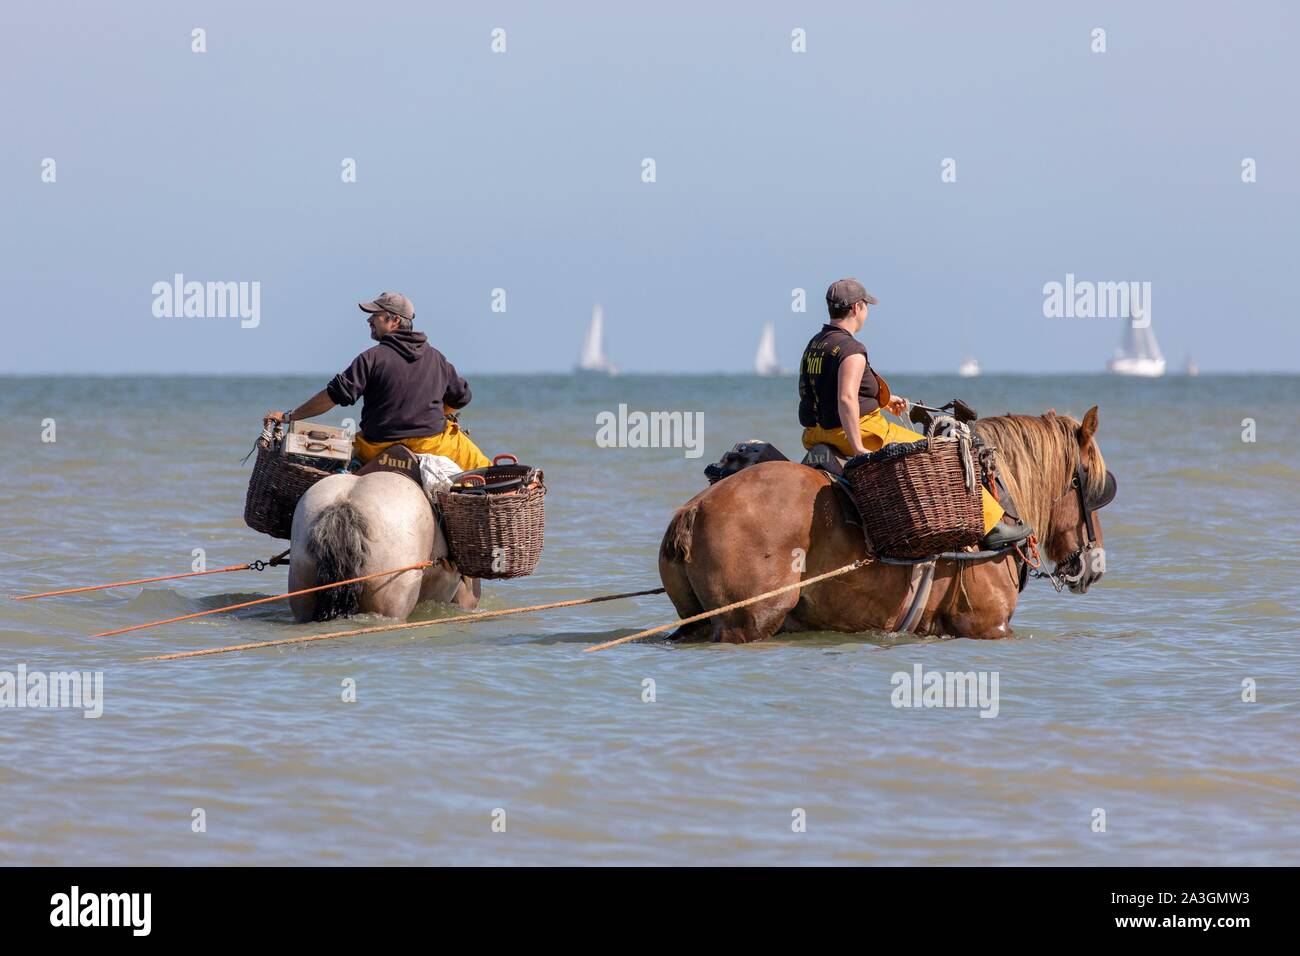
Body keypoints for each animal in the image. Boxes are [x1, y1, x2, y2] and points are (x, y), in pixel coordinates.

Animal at [665, 405, 1112, 642]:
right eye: (1088, 484)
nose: (1095, 566)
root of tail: (693, 510)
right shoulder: (988, 626)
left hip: (694, 623)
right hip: (748, 623)